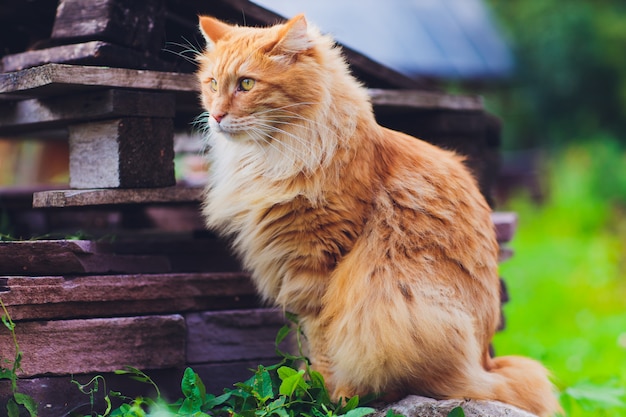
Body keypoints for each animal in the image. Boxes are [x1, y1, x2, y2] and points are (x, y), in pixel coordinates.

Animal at [197, 13, 560, 416]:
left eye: (246, 84)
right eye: (212, 84)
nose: (216, 115)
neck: (272, 157)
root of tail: (486, 362)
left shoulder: (319, 266)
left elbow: (321, 344)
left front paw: (325, 398)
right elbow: (306, 345)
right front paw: (306, 389)